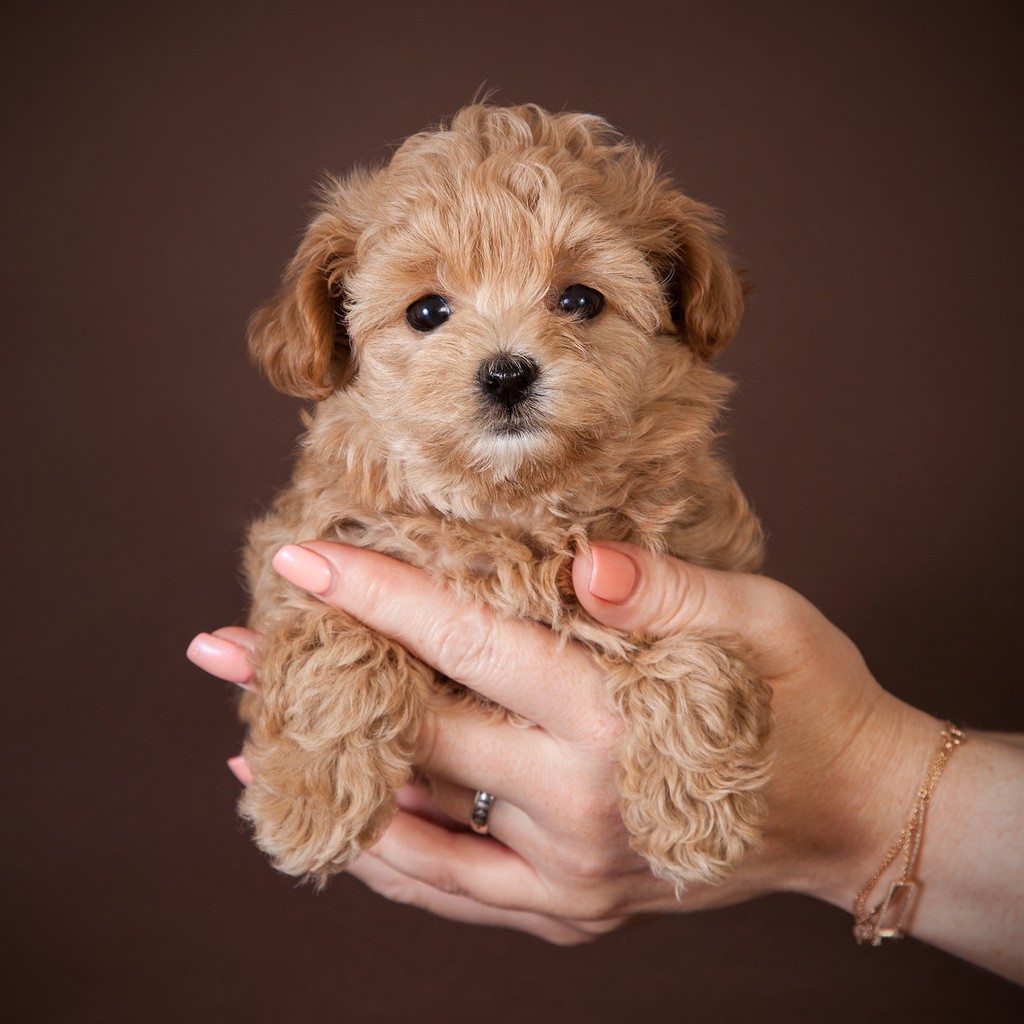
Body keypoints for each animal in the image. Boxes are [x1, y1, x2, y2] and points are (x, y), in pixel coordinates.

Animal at [239, 99, 770, 892]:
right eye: (427, 312)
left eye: (580, 299)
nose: (507, 373)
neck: (513, 508)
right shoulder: (313, 554)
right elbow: (334, 640)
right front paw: (310, 802)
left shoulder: (700, 569)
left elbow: (696, 655)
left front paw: (696, 814)